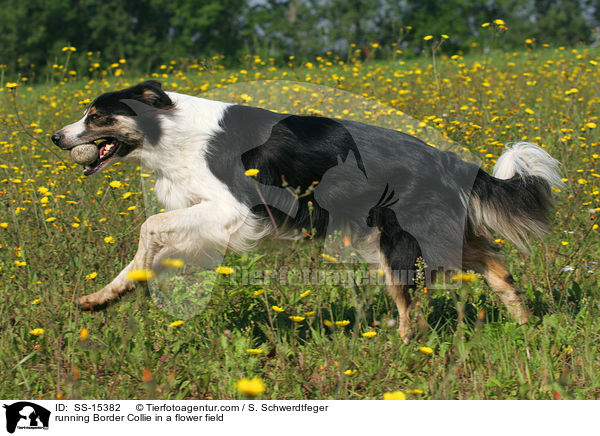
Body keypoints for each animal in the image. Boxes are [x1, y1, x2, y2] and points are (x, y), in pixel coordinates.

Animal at [52, 81, 564, 340]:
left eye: (97, 116)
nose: (57, 137)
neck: (167, 130)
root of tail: (448, 160)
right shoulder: (203, 215)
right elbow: (150, 248)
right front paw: (105, 296)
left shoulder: (234, 208)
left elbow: (149, 225)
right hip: (428, 238)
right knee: (496, 267)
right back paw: (525, 324)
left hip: (398, 242)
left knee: (411, 308)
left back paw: (399, 348)